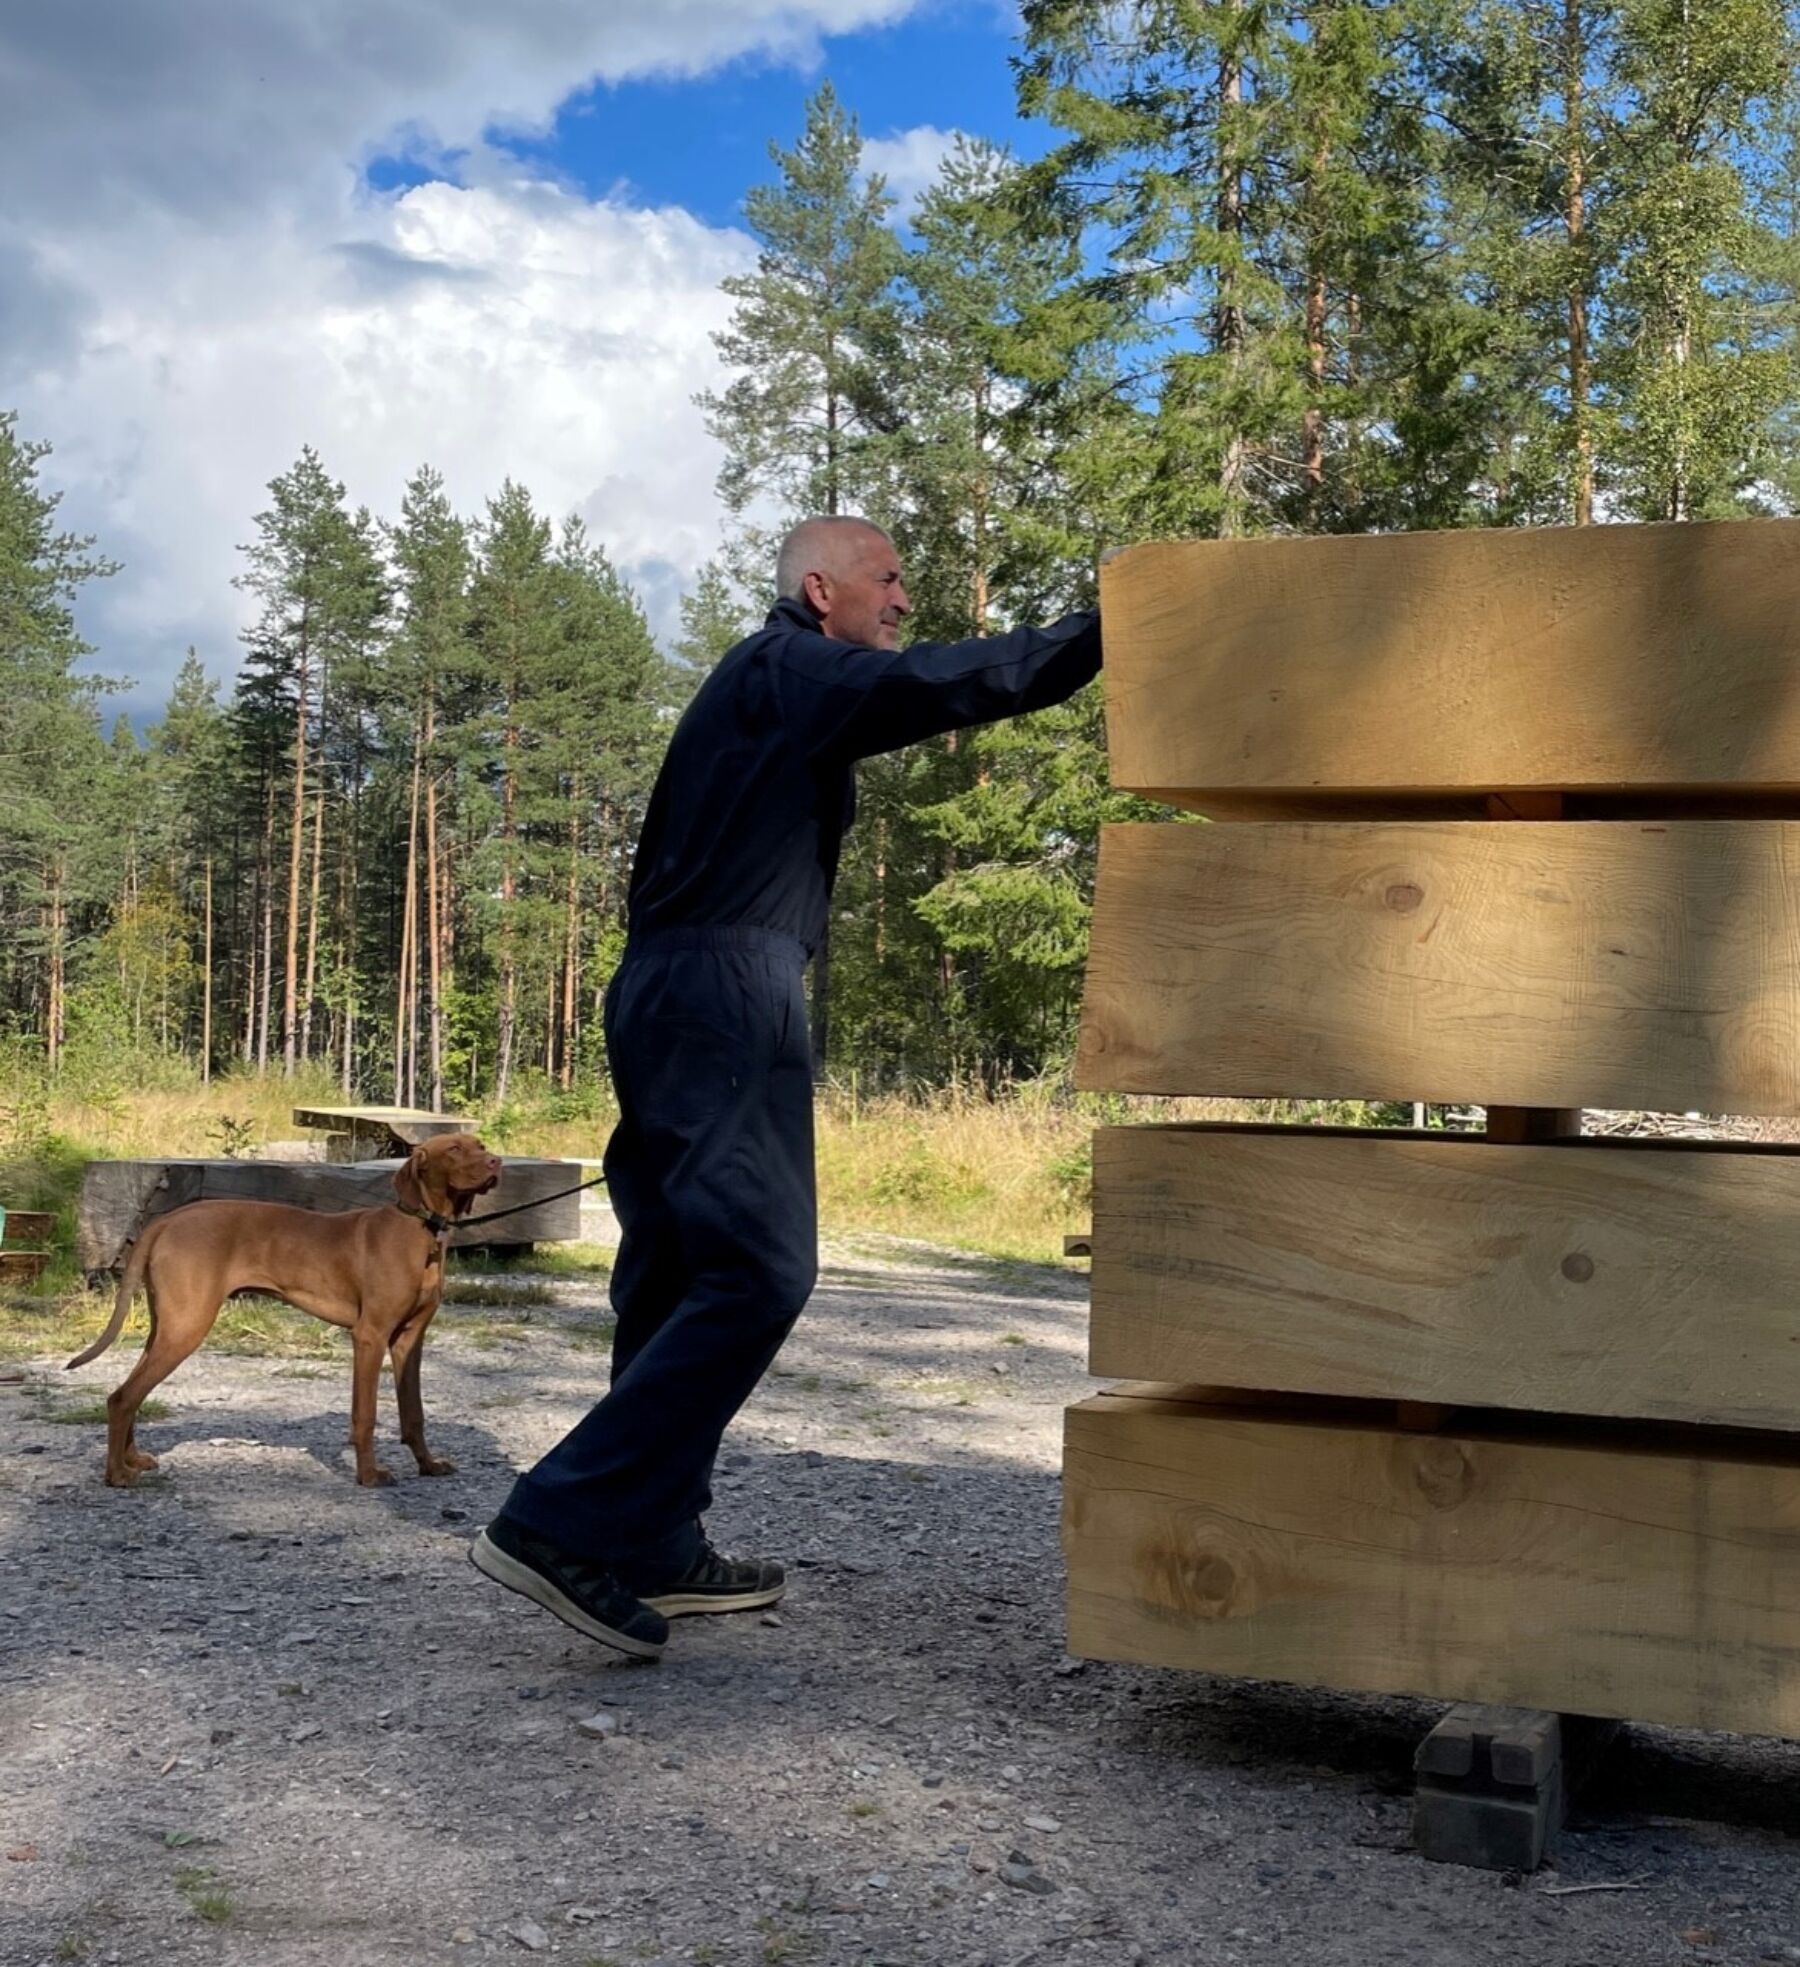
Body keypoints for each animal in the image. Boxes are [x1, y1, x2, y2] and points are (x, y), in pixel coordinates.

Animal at [67, 1140, 503, 1487]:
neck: (423, 1231)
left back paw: (131, 1460)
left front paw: (428, 1465)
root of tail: (167, 1219)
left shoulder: (409, 1340)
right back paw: (117, 1475)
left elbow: (414, 1414)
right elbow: (365, 1415)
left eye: (480, 1144)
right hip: (186, 1328)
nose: (497, 1161)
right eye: (455, 1148)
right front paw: (368, 1475)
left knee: (130, 1392)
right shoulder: (370, 1335)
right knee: (122, 1398)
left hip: (168, 1326)